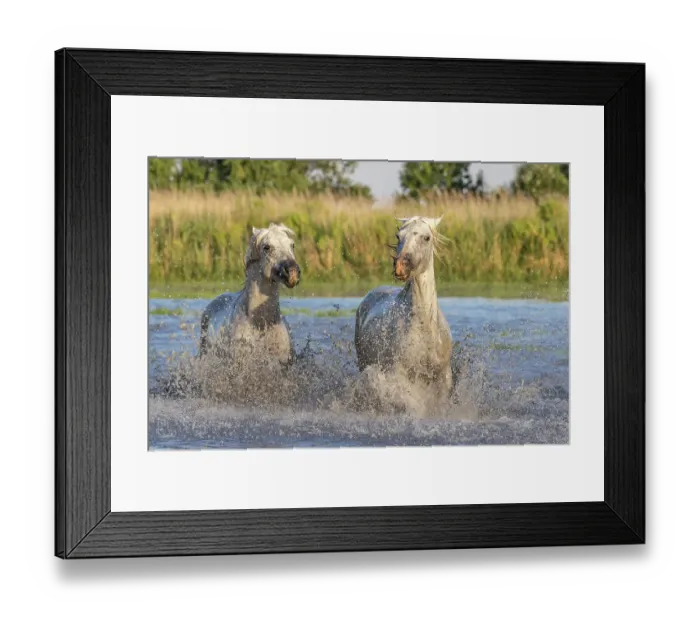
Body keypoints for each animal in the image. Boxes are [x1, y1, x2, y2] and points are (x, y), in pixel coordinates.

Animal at [354, 216, 453, 403]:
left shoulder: (443, 377)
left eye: (426, 237)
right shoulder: (401, 377)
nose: (400, 266)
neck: (425, 328)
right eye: (398, 236)